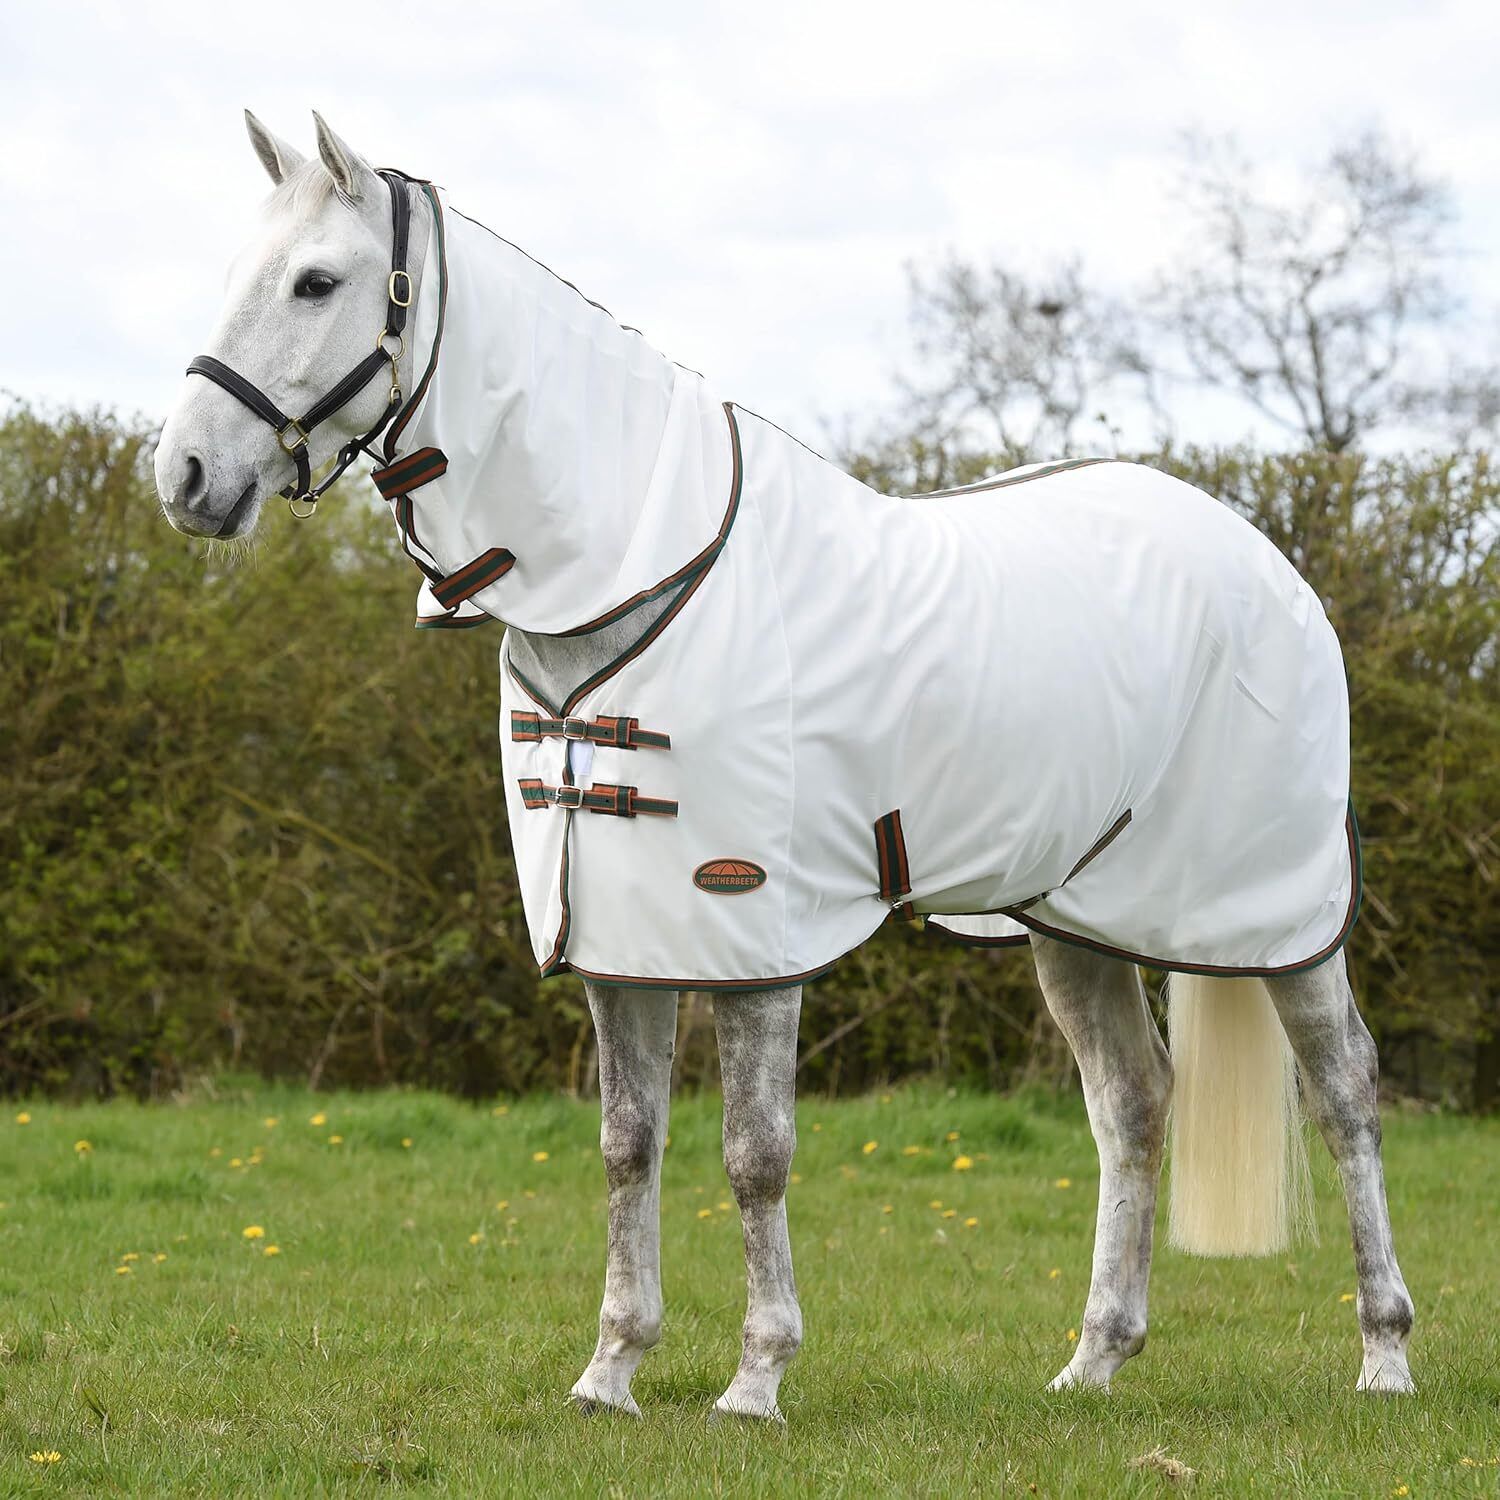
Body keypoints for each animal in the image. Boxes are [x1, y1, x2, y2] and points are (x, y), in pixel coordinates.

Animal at [154, 111, 1415, 1420]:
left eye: (316, 282)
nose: (183, 475)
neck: (640, 570)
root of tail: (1265, 560)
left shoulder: (749, 932)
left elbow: (754, 1153)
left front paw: (756, 1378)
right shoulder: (621, 936)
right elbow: (628, 1147)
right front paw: (611, 1370)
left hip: (1276, 915)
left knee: (1346, 1091)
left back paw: (1383, 1355)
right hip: (1075, 918)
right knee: (1133, 1104)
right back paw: (1094, 1360)